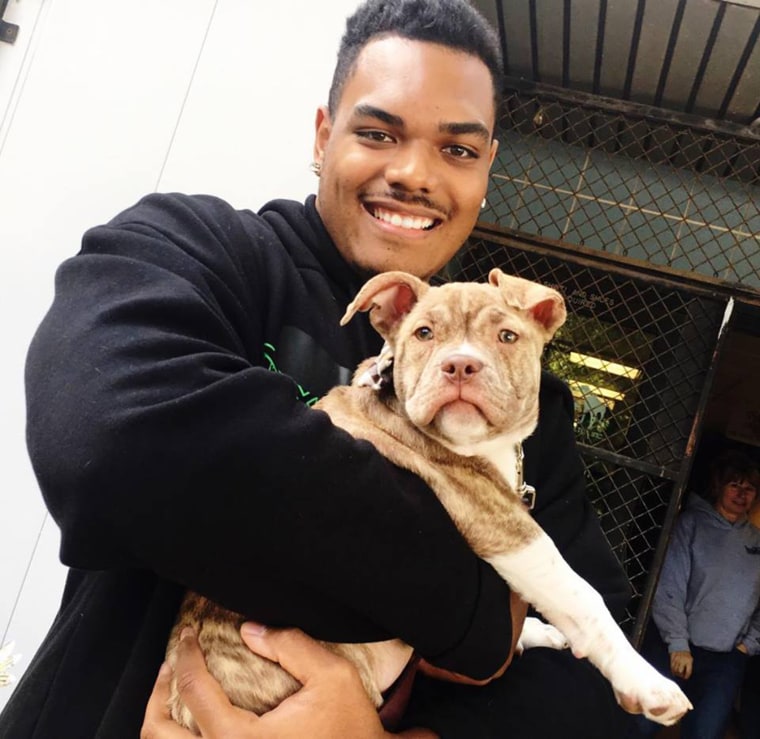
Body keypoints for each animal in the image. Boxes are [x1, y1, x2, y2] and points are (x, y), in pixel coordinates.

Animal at [168, 268, 696, 732]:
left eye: (507, 336)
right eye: (424, 333)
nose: (460, 364)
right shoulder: (504, 525)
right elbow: (582, 595)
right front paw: (646, 683)